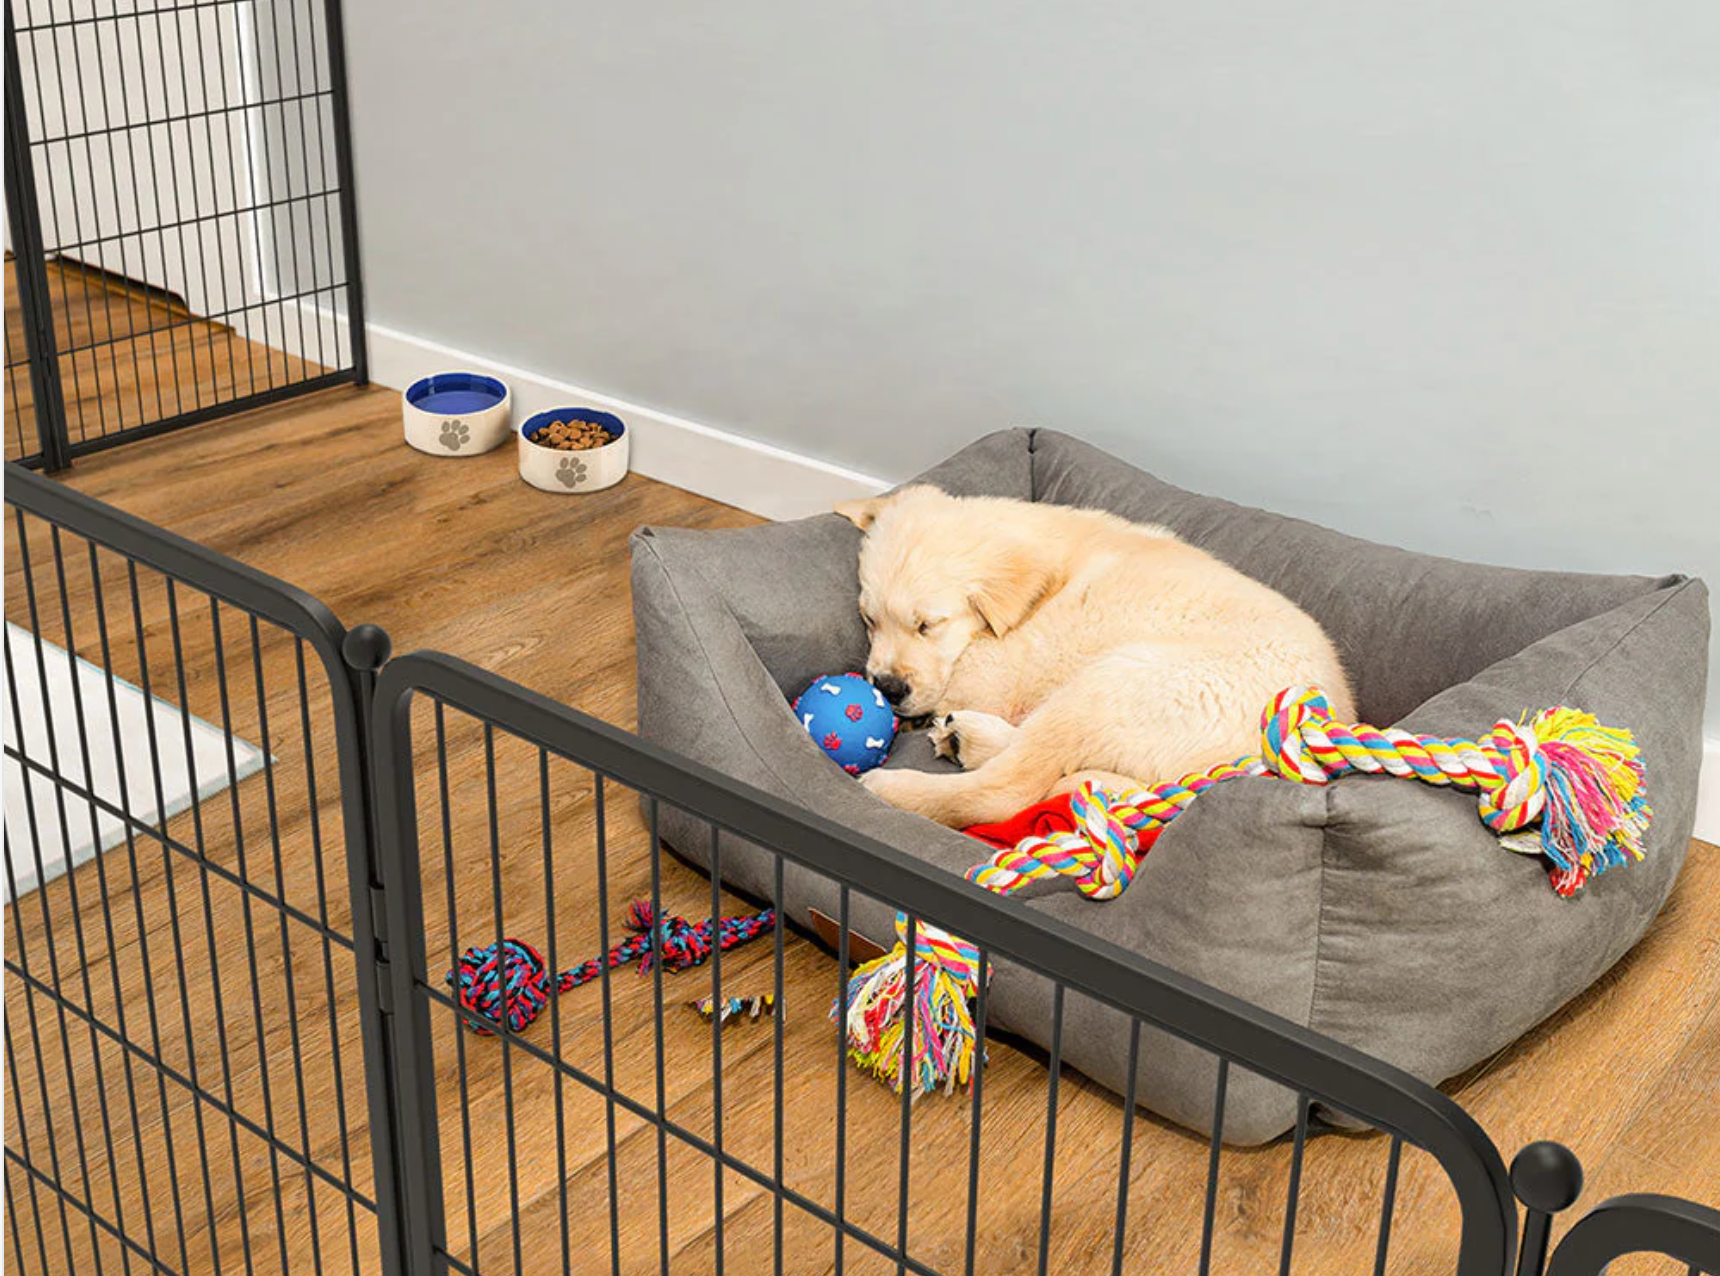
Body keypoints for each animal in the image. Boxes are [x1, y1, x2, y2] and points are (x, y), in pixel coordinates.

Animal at [835, 488, 1355, 828]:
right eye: (869, 619)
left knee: (1009, 787)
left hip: (1118, 680)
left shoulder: (995, 668)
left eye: (928, 625)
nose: (887, 689)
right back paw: (968, 737)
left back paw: (900, 784)